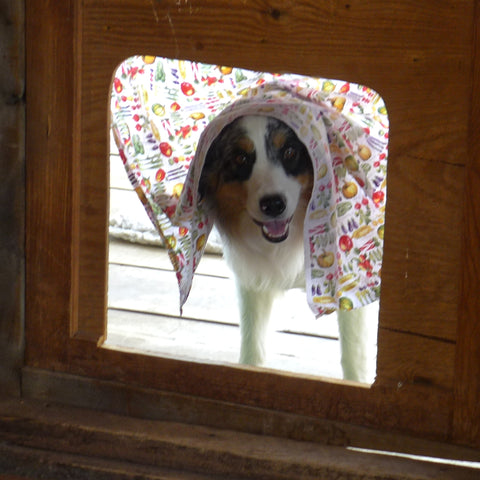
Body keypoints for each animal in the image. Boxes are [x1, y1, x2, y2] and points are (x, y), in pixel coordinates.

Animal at [199, 116, 378, 382]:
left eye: (290, 152)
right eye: (241, 158)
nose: (273, 204)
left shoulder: (352, 286)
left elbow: (353, 353)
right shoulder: (254, 281)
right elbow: (253, 344)